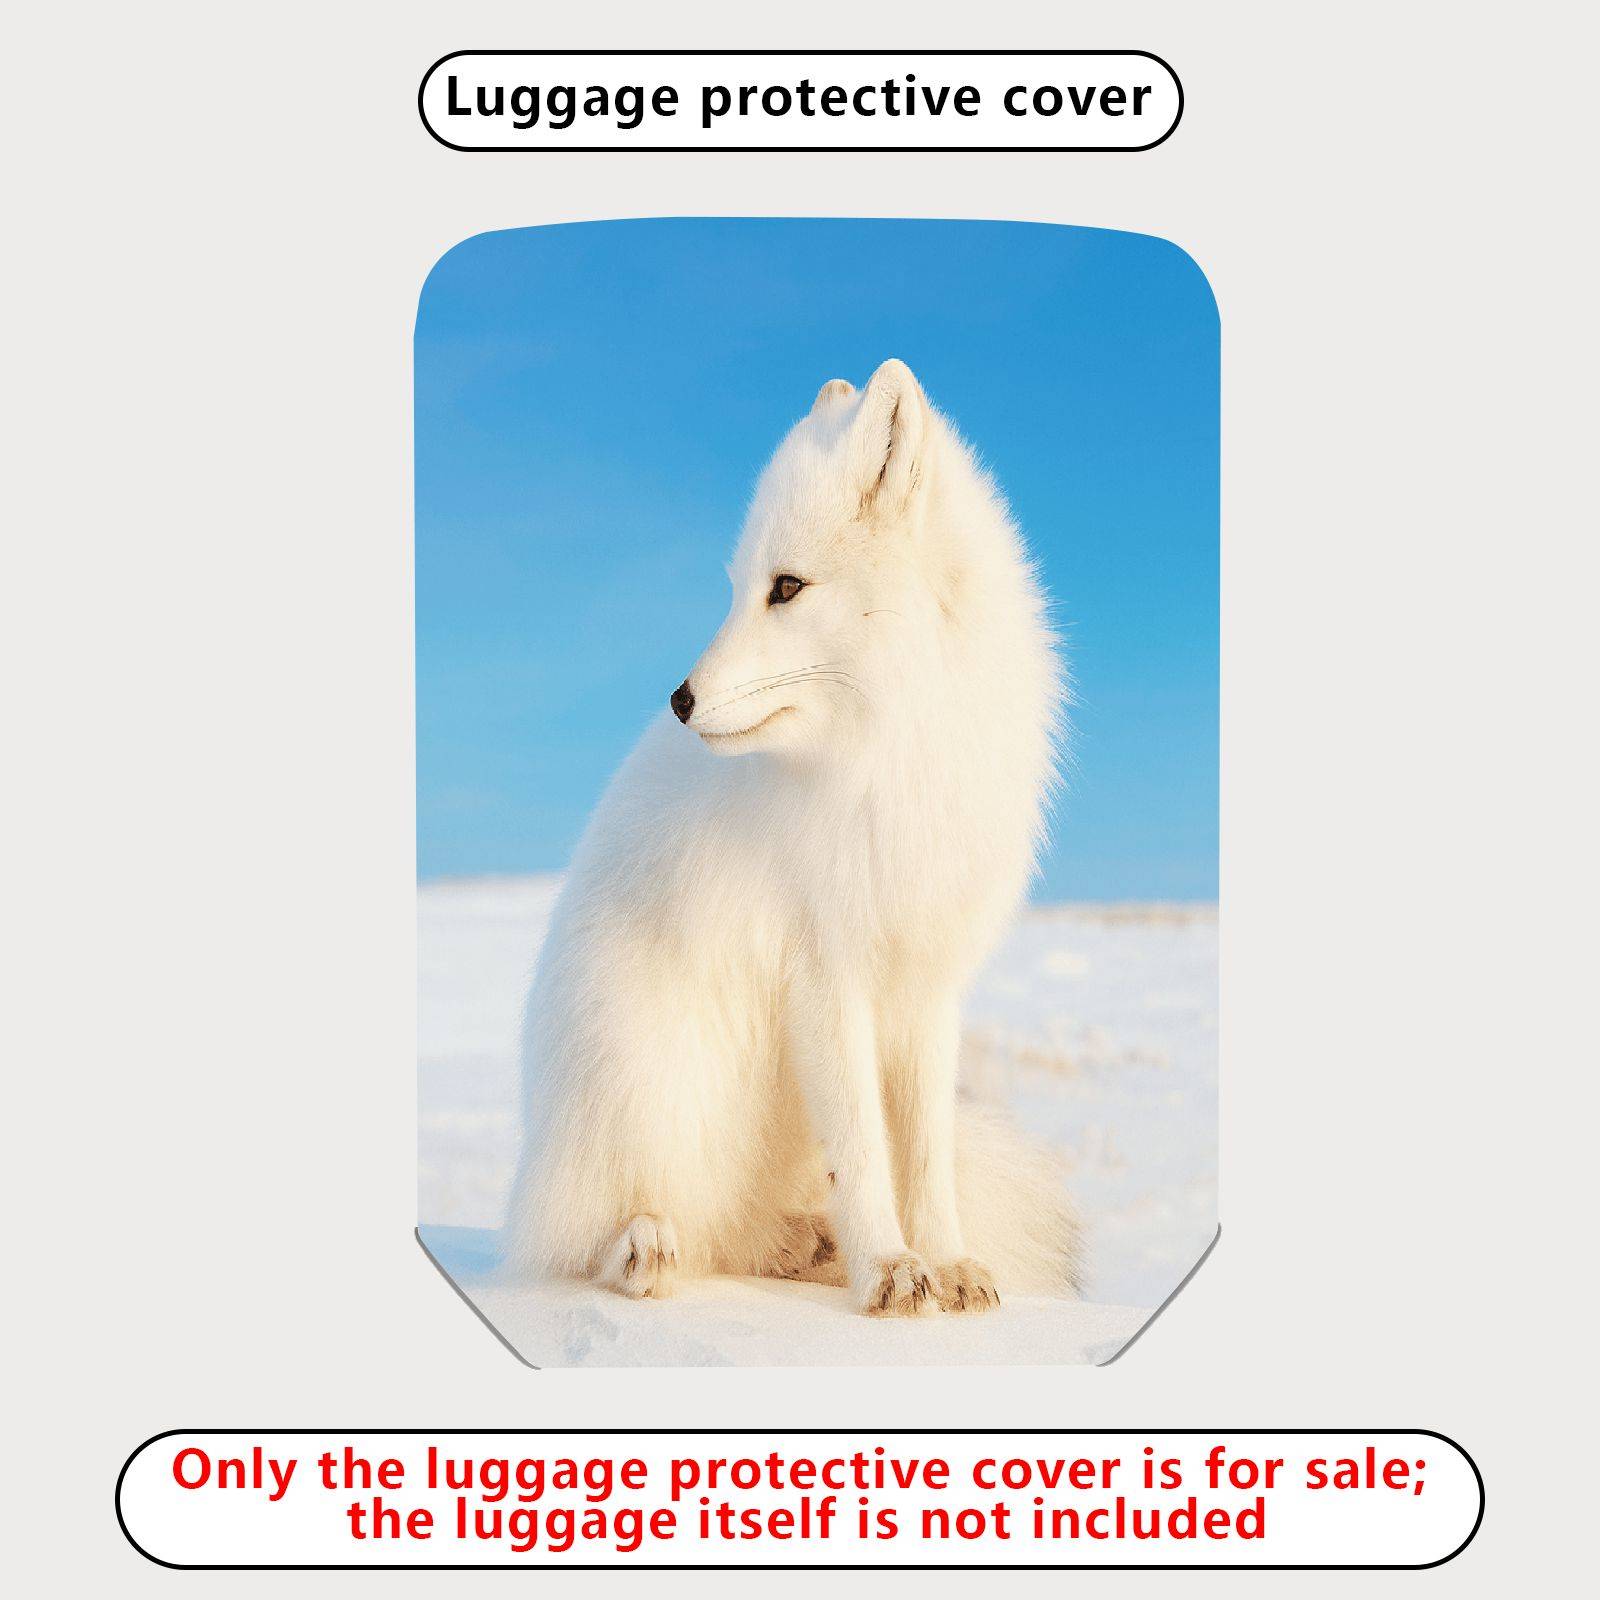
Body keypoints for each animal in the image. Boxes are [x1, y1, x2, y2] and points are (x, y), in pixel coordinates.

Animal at [504, 359, 1080, 1317]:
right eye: (741, 586)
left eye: (787, 588)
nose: (680, 701)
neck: (888, 753)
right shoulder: (822, 970)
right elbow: (865, 1151)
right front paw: (888, 1269)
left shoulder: (926, 983)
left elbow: (923, 1156)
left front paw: (944, 1261)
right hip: (652, 1077)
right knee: (600, 1234)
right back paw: (644, 1248)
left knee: (745, 1229)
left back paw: (801, 1244)